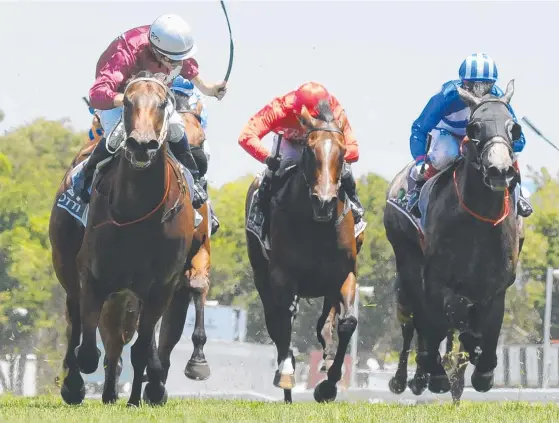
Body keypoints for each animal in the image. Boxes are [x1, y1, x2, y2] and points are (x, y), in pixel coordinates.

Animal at [245, 100, 358, 404]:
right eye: (309, 149)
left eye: (342, 151)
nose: (324, 202)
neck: (316, 226)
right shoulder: (283, 276)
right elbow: (285, 318)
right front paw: (286, 373)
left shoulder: (345, 274)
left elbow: (347, 323)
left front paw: (329, 384)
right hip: (261, 274)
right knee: (275, 320)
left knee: (325, 323)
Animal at [384, 80, 524, 400]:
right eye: (475, 127)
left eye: (514, 129)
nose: (500, 170)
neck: (479, 220)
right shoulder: (437, 280)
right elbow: (438, 321)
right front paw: (437, 374)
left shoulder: (496, 285)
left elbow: (486, 331)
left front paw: (481, 369)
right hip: (406, 264)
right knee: (414, 322)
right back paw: (408, 378)